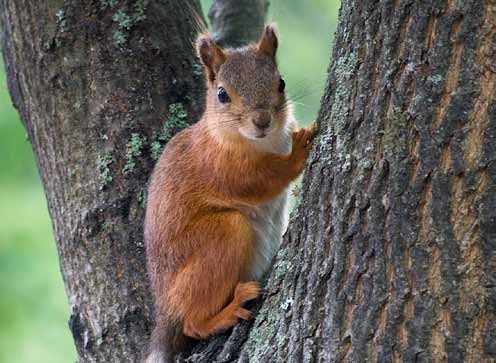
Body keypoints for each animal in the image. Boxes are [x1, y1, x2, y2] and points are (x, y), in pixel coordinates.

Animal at [143, 24, 316, 362]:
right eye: (222, 94)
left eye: (281, 82)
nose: (262, 120)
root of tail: (164, 312)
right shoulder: (219, 166)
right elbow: (260, 179)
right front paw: (299, 150)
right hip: (224, 233)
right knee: (192, 324)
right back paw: (227, 312)